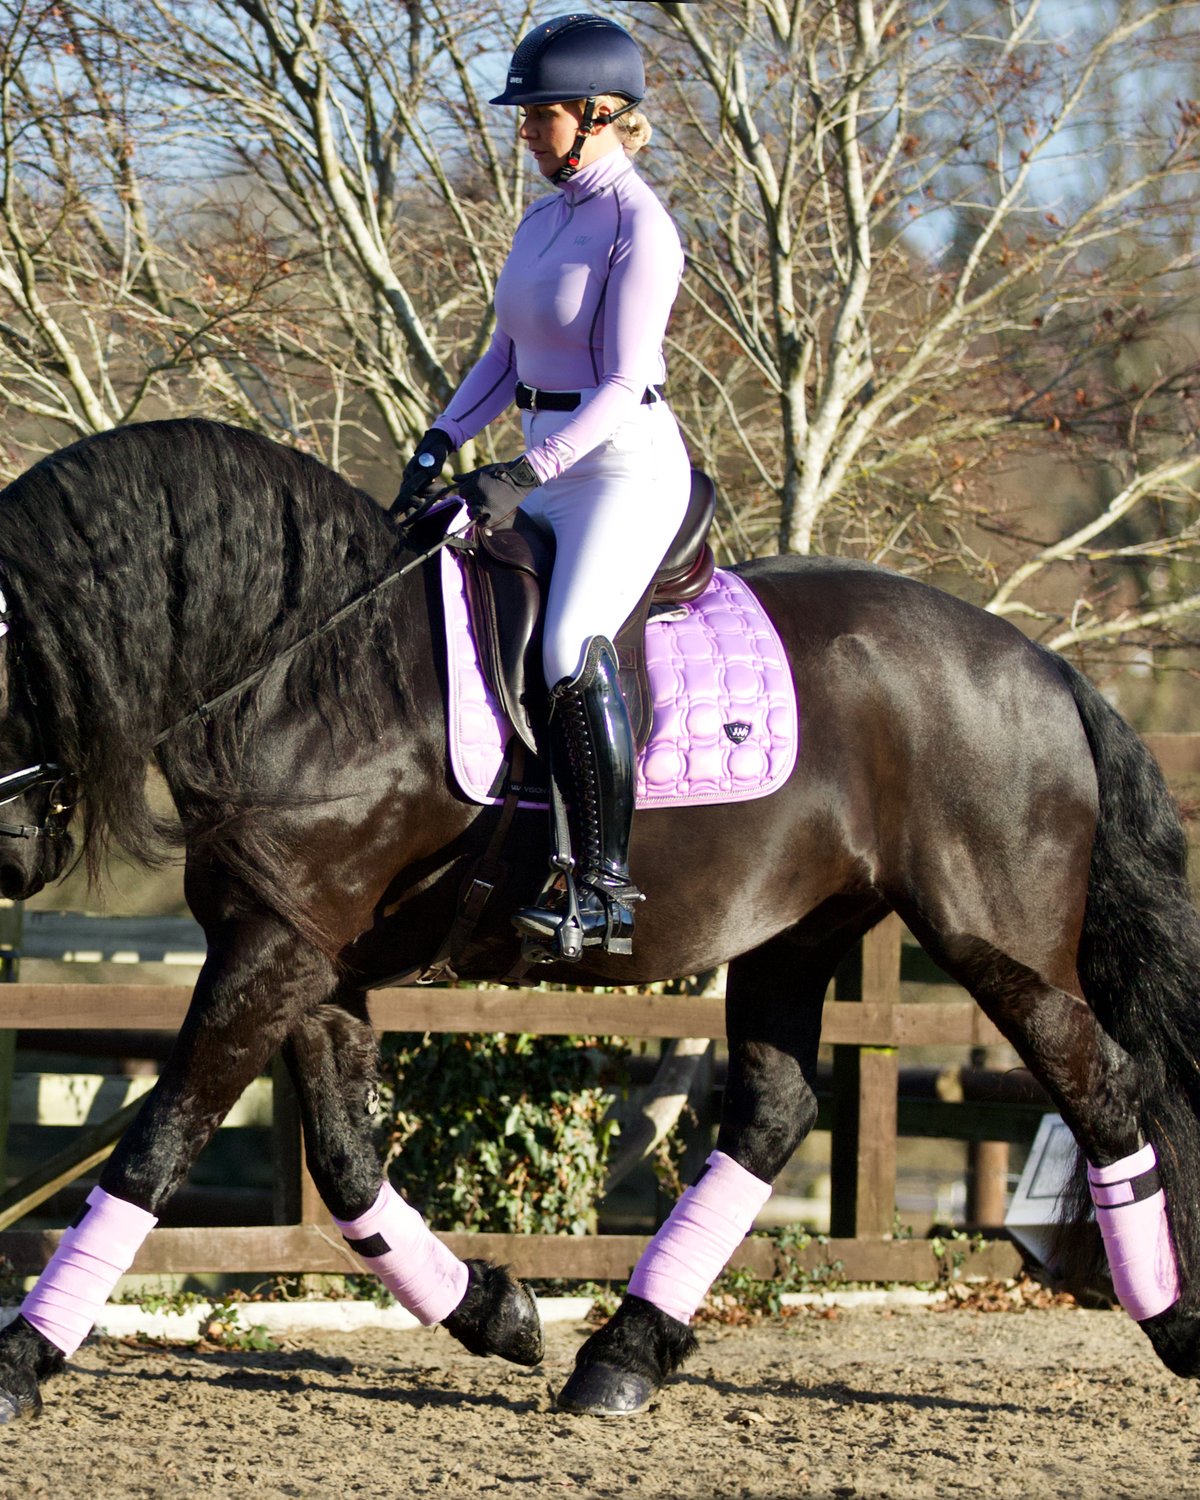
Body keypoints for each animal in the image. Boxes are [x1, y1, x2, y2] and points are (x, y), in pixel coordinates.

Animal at [0, 417, 1198, 1423]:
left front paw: (23, 1359)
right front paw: (496, 1313)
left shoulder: (278, 952)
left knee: (1104, 1085)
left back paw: (1174, 1320)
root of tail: (1042, 667)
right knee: (773, 1114)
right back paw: (623, 1353)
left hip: (994, 941)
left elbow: (156, 1148)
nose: (16, 858)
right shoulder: (306, 953)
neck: (310, 669)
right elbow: (342, 1165)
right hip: (796, 931)